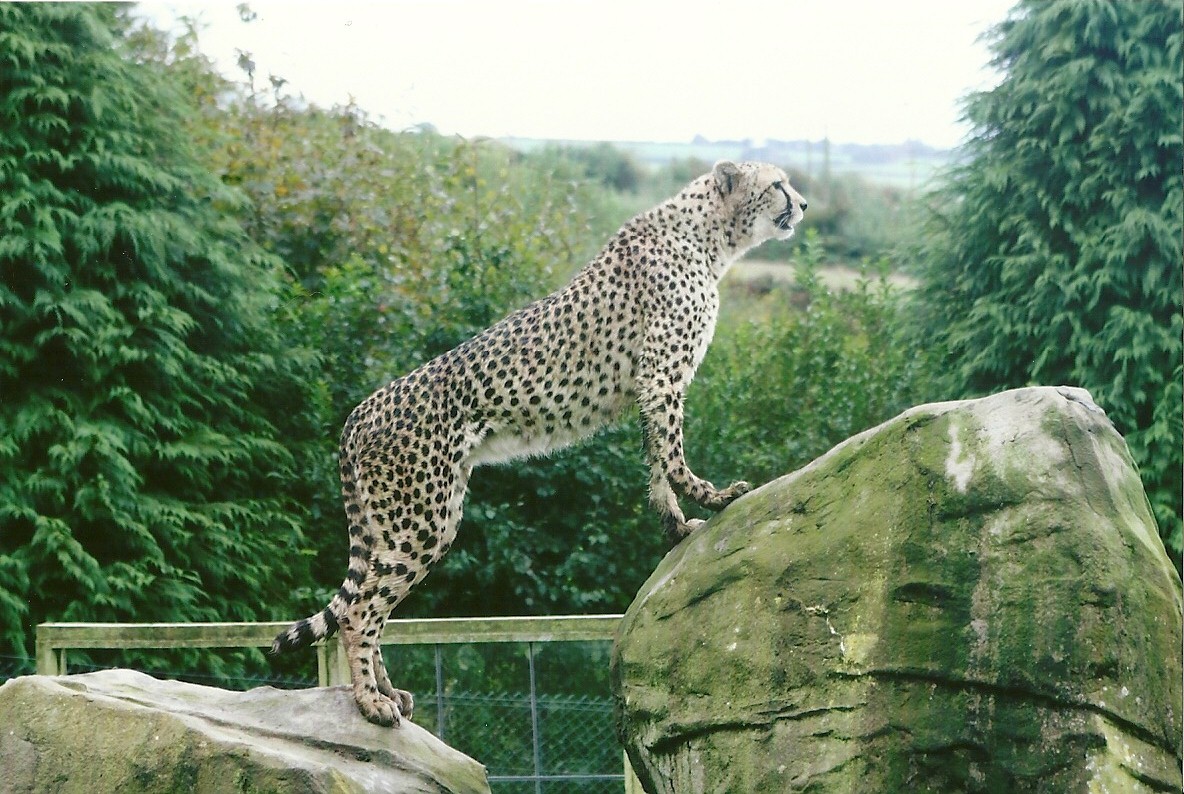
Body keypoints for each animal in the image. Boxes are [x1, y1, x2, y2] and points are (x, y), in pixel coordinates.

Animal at [272, 160, 807, 727]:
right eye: (777, 184)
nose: (804, 204)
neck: (708, 236)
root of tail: (359, 410)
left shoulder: (650, 386)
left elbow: (656, 464)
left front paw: (676, 527)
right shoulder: (661, 376)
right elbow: (673, 456)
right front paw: (714, 497)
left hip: (404, 520)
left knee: (371, 602)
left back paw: (389, 693)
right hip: (421, 519)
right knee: (359, 612)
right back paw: (371, 702)